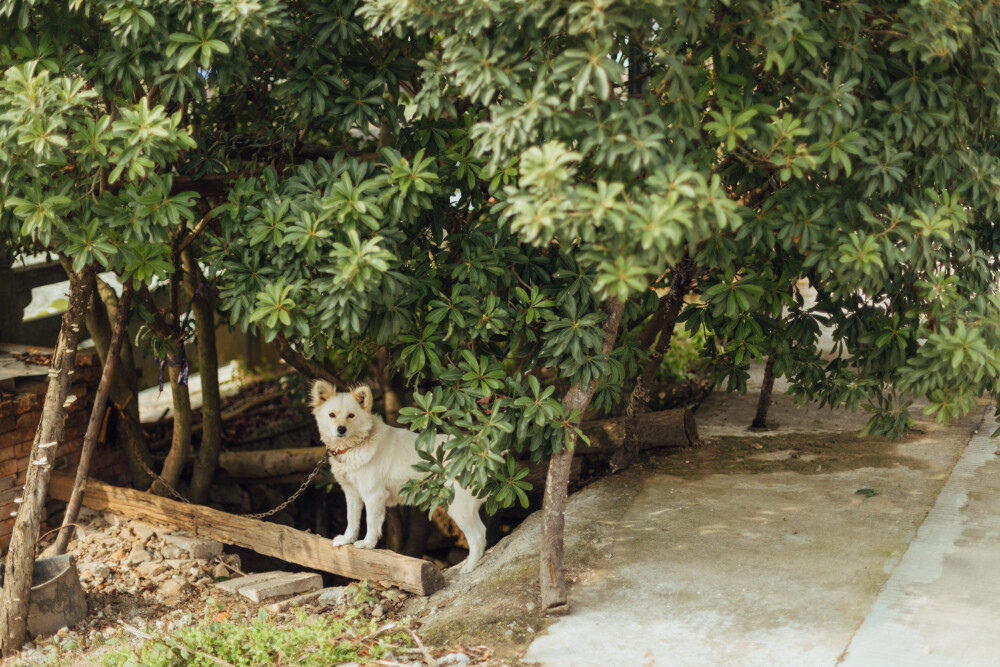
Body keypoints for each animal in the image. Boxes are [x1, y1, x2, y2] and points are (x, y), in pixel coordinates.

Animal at [310, 380, 486, 576]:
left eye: (351, 415)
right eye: (332, 415)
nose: (341, 429)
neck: (356, 444)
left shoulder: (373, 495)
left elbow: (371, 522)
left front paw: (367, 544)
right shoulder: (352, 494)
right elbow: (352, 519)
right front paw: (347, 539)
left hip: (457, 506)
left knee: (476, 537)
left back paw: (469, 567)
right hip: (465, 507)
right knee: (483, 532)